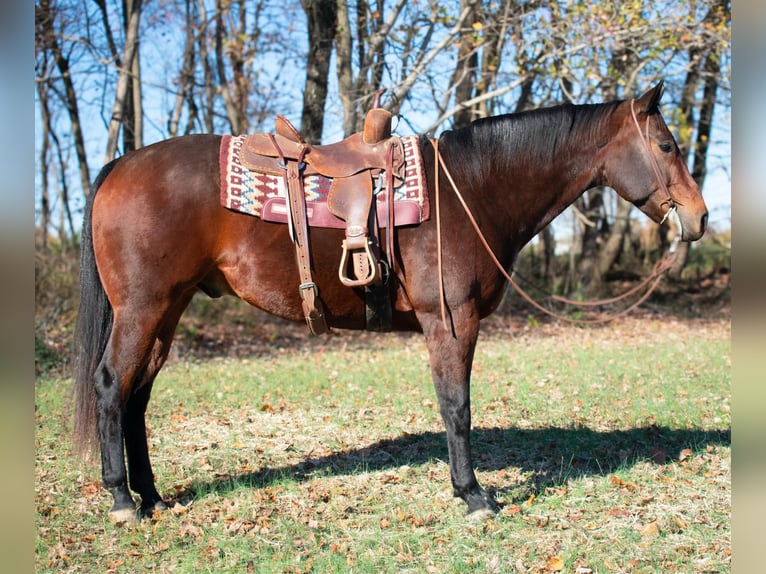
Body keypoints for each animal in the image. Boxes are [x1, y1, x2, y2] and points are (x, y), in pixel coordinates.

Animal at [72, 82, 708, 528]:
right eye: (666, 145)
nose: (700, 218)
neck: (469, 191)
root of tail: (119, 166)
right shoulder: (450, 322)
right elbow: (456, 407)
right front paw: (473, 495)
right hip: (143, 310)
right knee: (111, 385)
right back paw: (122, 499)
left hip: (167, 311)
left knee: (136, 396)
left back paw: (152, 497)